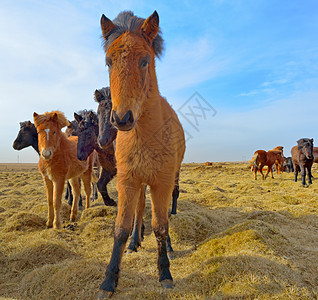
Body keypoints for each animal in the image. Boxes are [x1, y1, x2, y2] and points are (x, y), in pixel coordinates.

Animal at [98, 11, 185, 296]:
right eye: (108, 62)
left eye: (145, 60)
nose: (122, 118)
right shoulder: (128, 181)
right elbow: (121, 228)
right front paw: (109, 281)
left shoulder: (162, 182)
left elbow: (160, 225)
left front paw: (165, 273)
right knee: (138, 211)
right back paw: (135, 241)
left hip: (170, 178)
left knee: (165, 212)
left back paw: (168, 246)